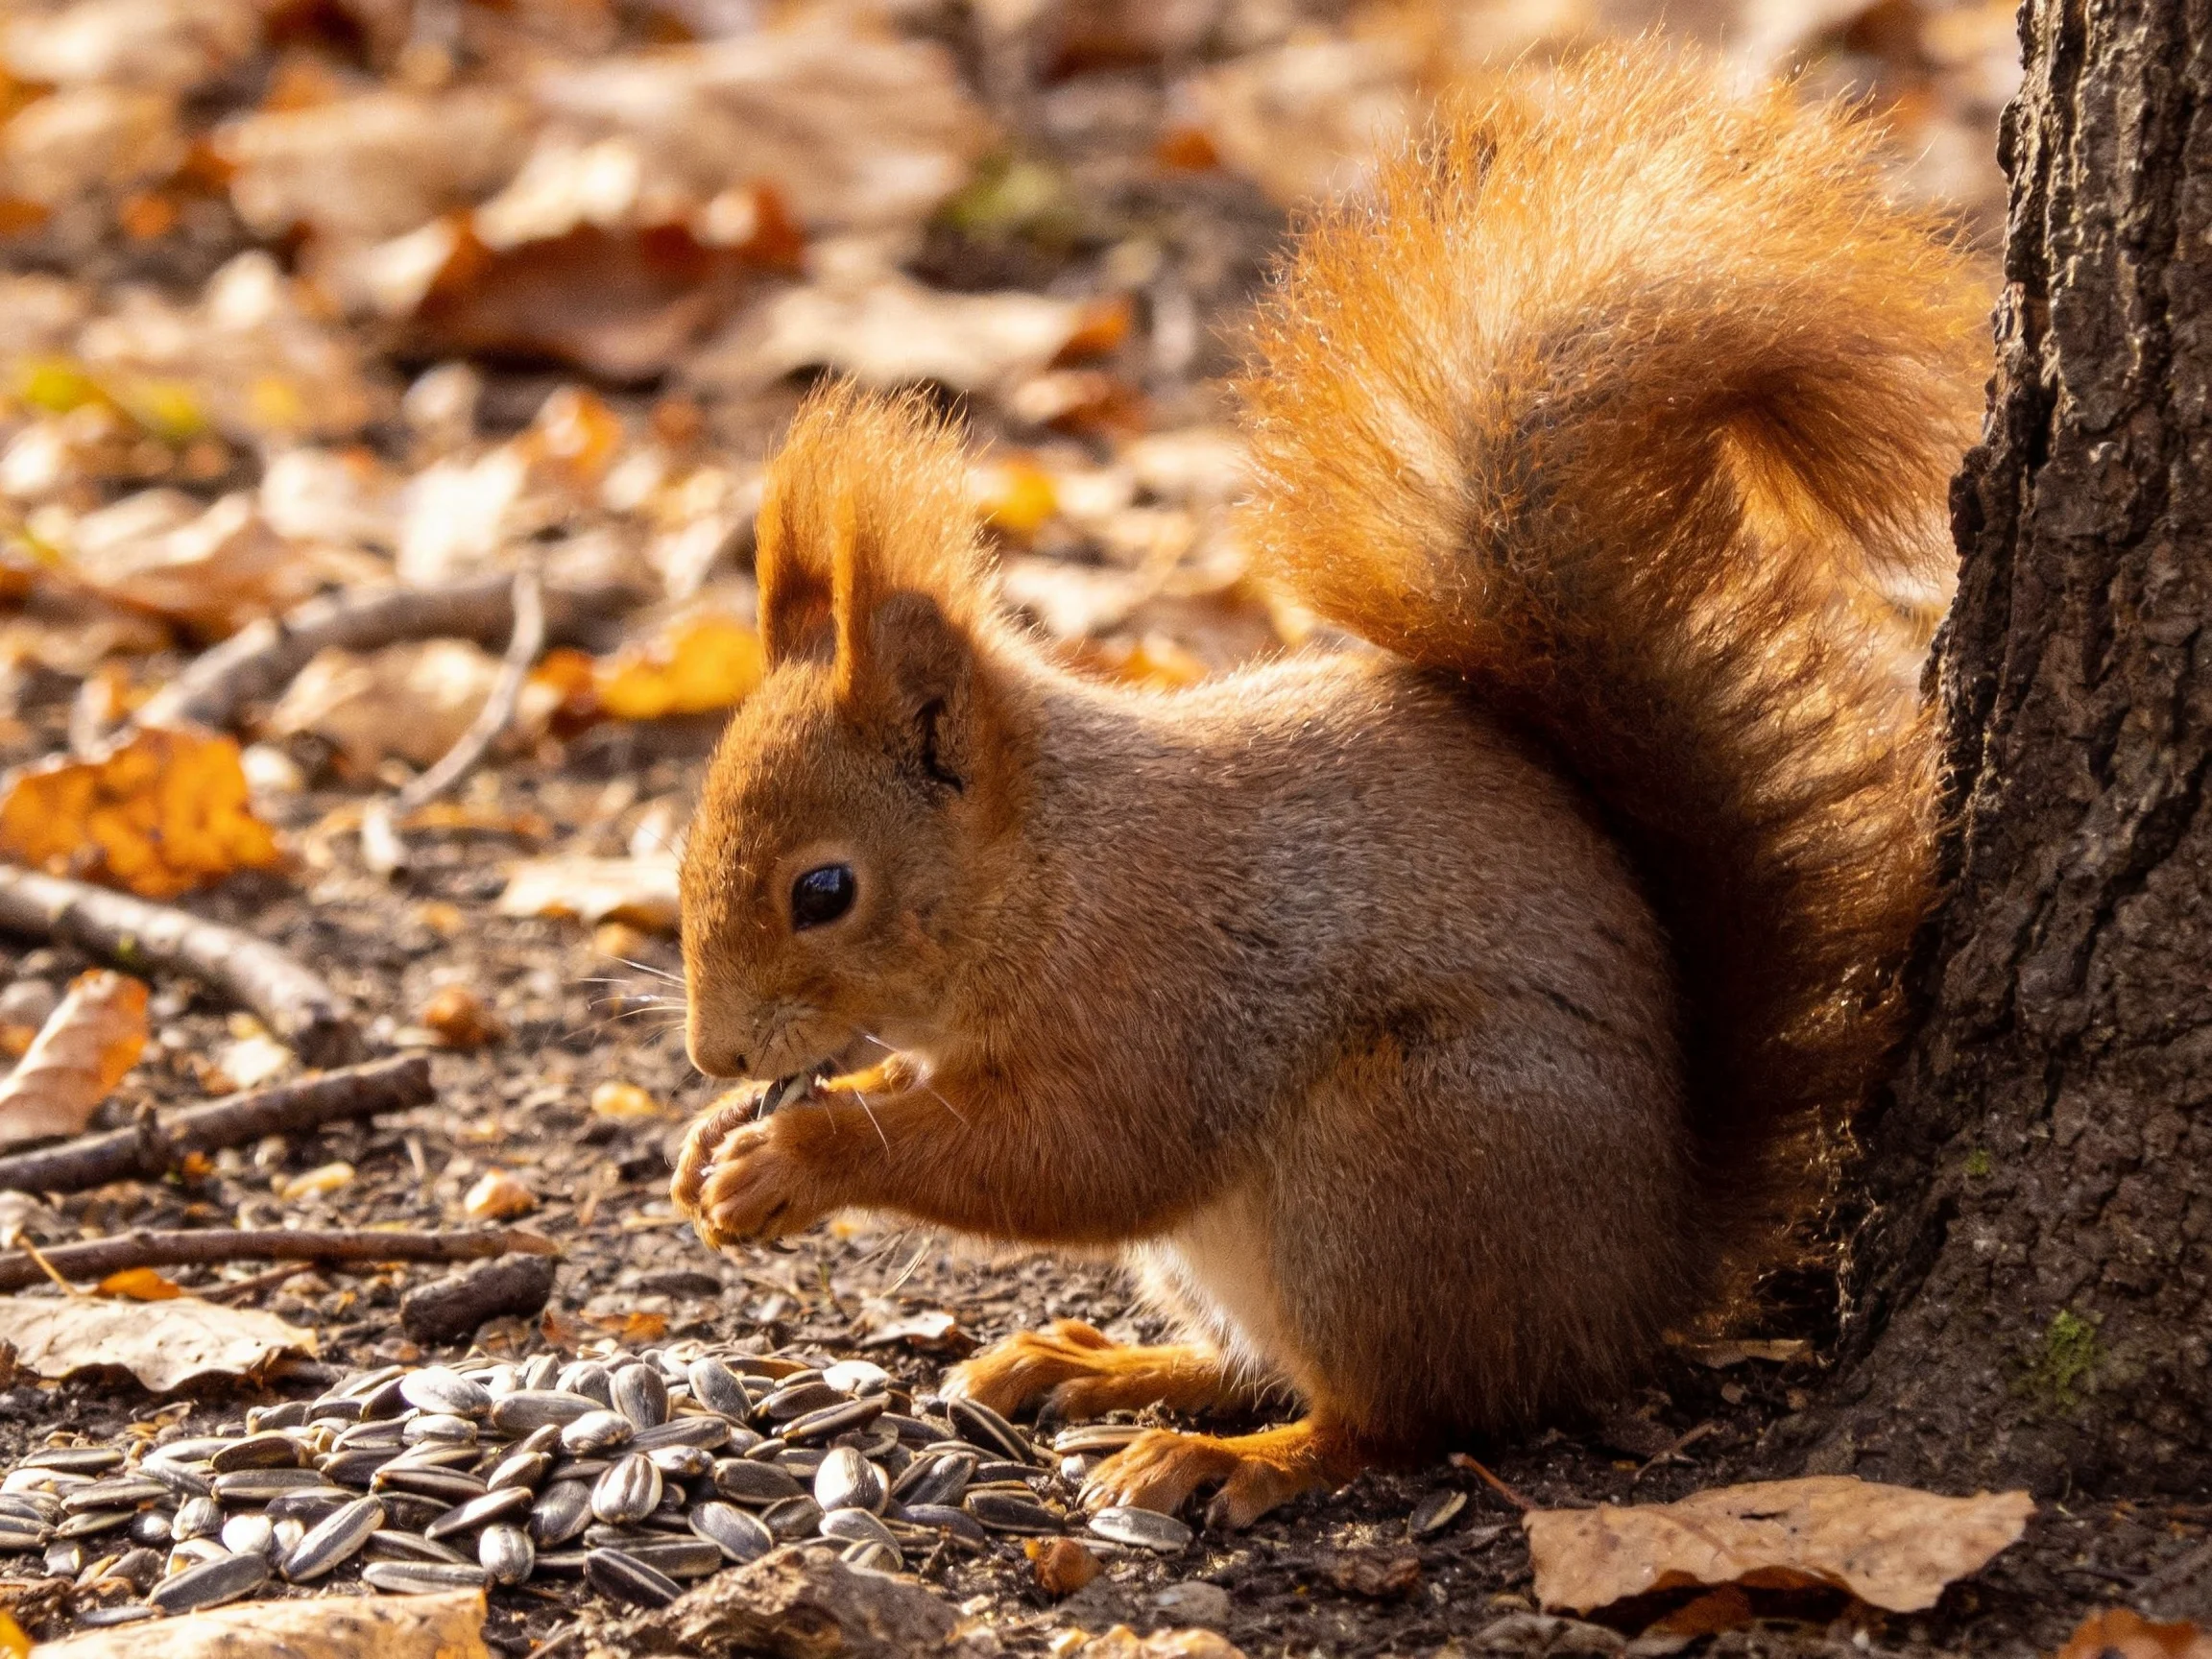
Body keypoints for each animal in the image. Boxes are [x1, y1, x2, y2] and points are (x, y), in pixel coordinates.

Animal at [668, 47, 1991, 1527]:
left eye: (825, 891)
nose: (715, 1055)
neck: (1050, 865)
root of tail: (1643, 1275)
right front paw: (709, 1143)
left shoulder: (1168, 991)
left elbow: (1080, 1155)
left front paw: (795, 1158)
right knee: (1264, 1362)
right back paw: (1109, 1368)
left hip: (1395, 1165)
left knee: (1401, 1417)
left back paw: (1238, 1457)